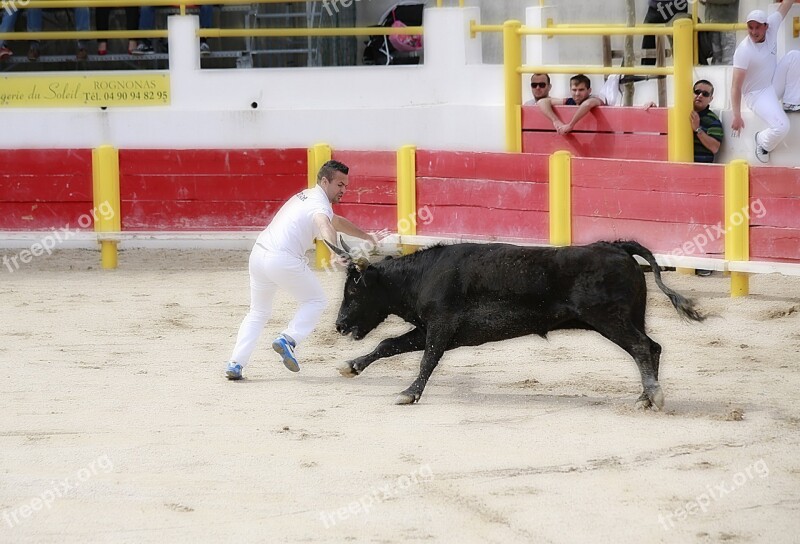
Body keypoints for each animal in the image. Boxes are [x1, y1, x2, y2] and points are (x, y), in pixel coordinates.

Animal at [328, 240, 704, 410]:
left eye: (353, 291)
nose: (340, 325)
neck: (421, 276)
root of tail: (615, 246)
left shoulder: (440, 327)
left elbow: (427, 359)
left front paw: (409, 393)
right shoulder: (434, 330)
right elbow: (388, 345)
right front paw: (352, 366)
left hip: (608, 319)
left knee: (640, 347)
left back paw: (653, 395)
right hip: (629, 318)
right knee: (651, 346)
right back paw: (644, 396)